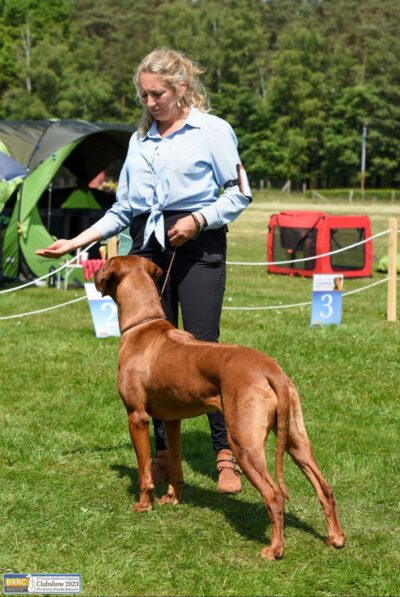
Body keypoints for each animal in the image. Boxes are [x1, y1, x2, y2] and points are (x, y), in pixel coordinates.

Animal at [95, 256, 346, 560]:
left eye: (104, 264)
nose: (94, 273)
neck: (143, 326)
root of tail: (271, 371)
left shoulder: (137, 417)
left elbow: (145, 473)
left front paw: (145, 504)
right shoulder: (172, 421)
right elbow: (176, 466)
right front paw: (173, 498)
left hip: (244, 443)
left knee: (274, 496)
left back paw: (274, 549)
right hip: (295, 439)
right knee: (325, 488)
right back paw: (336, 537)